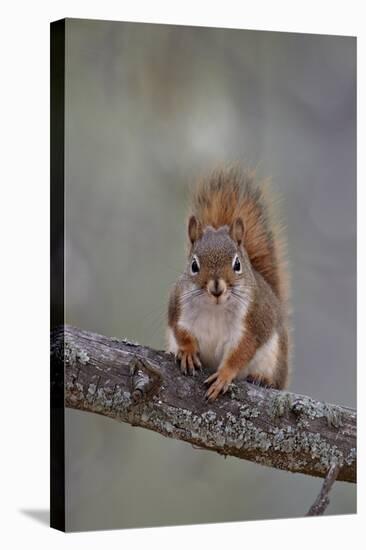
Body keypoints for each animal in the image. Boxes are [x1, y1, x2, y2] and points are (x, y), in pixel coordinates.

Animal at [167, 166, 290, 404]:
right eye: (194, 265)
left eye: (237, 264)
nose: (217, 288)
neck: (215, 308)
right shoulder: (178, 307)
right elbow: (180, 331)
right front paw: (187, 352)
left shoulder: (252, 324)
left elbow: (240, 353)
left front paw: (223, 376)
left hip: (275, 358)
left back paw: (263, 379)